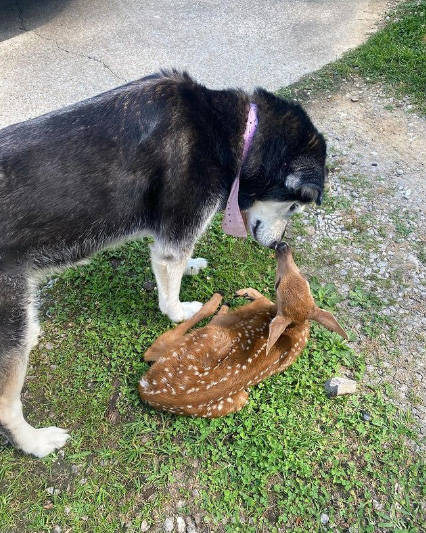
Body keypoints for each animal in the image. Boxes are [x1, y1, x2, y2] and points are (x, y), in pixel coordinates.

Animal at [0, 68, 326, 456]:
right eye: (293, 207)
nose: (280, 244)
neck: (232, 131)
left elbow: (180, 263)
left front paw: (192, 266)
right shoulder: (174, 238)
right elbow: (171, 291)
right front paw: (180, 310)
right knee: (5, 405)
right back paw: (35, 442)